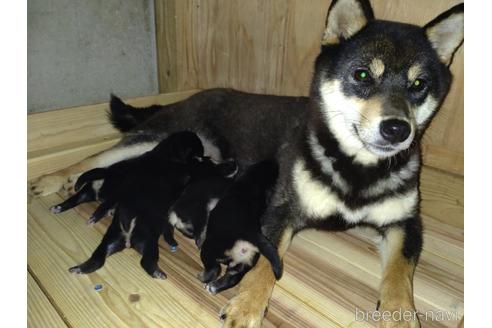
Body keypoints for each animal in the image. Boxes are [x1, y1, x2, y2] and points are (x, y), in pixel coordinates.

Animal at [196, 160, 280, 294]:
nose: (275, 163)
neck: (253, 186)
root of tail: (250, 234)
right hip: (246, 263)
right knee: (232, 278)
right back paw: (214, 287)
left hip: (210, 248)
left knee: (214, 269)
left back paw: (204, 278)